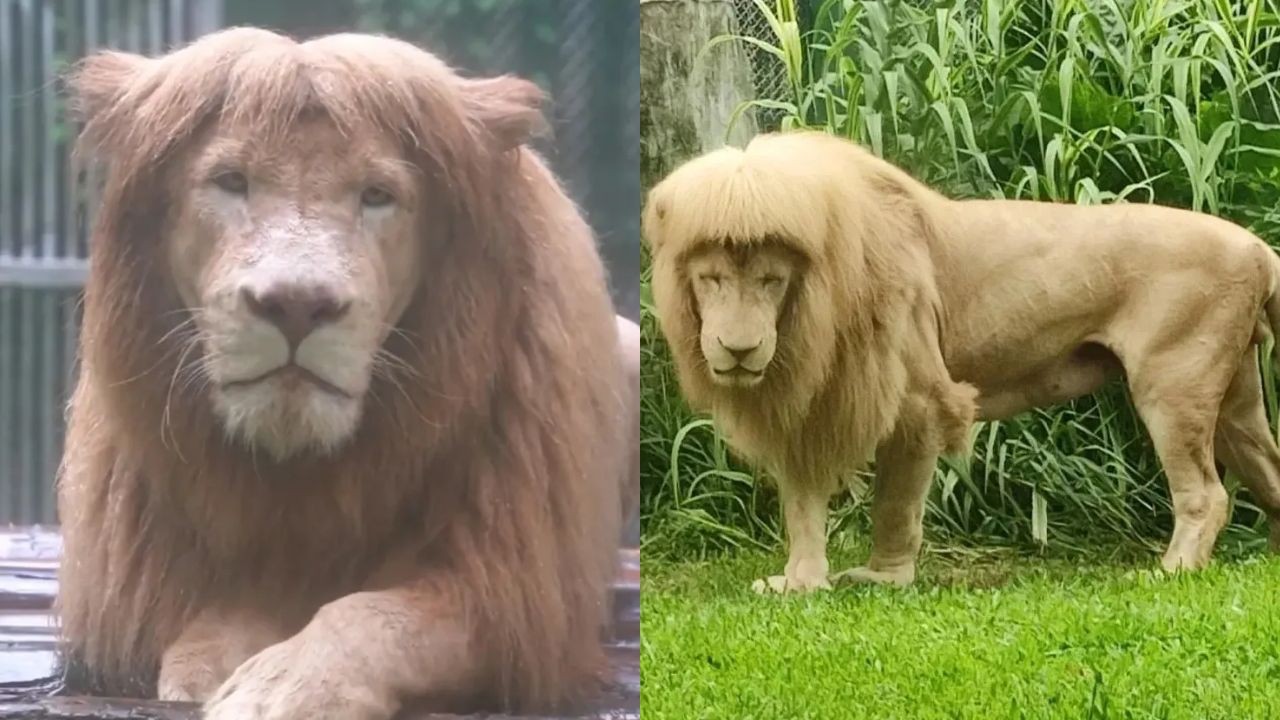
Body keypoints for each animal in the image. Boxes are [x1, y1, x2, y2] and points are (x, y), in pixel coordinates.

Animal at [58, 27, 629, 718]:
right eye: (230, 181)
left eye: (377, 195)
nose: (297, 304)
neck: (304, 475)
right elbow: (221, 620)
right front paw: (210, 665)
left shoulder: (513, 597)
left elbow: (374, 617)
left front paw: (284, 685)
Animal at [643, 130, 1280, 592]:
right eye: (711, 279)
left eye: (771, 280)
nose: (738, 349)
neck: (811, 314)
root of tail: (1257, 246)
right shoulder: (807, 408)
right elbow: (802, 506)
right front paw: (799, 584)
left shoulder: (920, 401)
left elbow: (895, 503)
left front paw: (883, 578)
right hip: (1236, 401)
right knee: (1268, 470)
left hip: (1172, 385)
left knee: (1207, 494)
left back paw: (1171, 570)